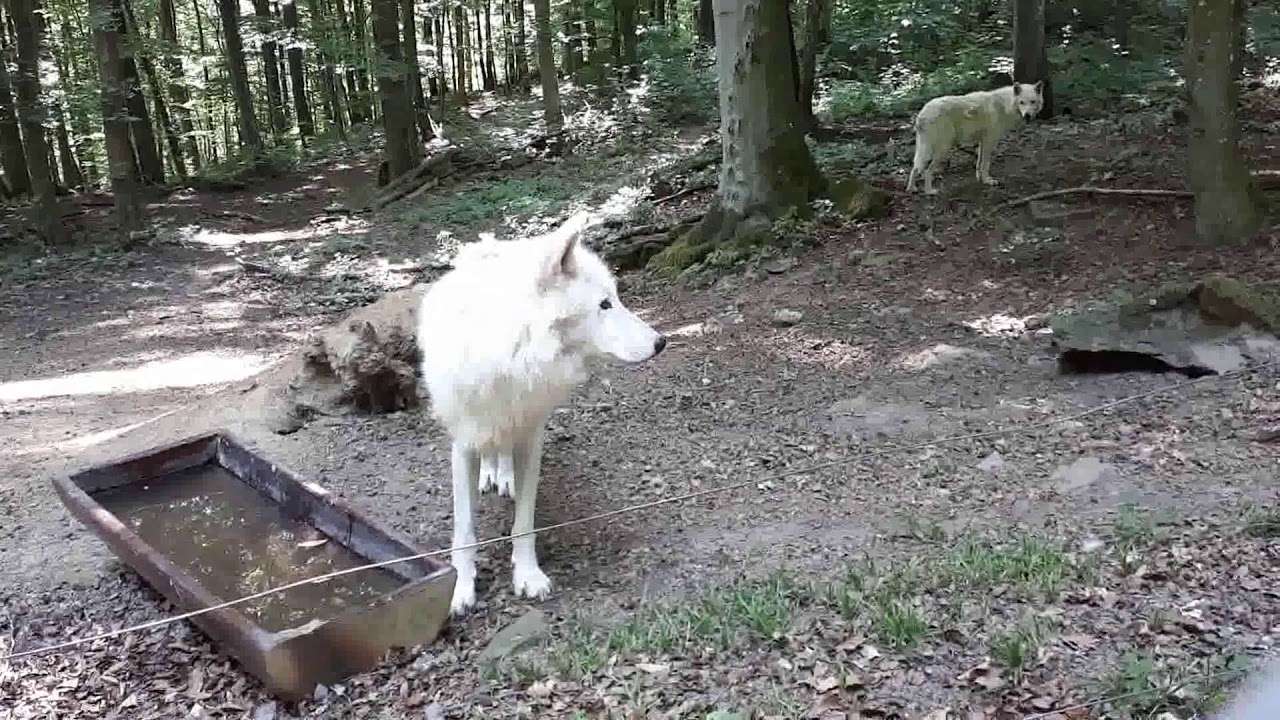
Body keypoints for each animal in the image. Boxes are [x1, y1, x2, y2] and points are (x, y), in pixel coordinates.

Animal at [417, 213, 667, 614]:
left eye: (615, 299)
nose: (661, 342)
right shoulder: (465, 440)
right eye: (604, 304)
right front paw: (461, 589)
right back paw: (490, 475)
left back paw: (503, 477)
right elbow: (464, 531)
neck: (511, 352)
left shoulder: (530, 435)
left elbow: (524, 523)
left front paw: (527, 575)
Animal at [906, 80, 1044, 195]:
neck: (1004, 106)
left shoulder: (982, 142)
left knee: (915, 167)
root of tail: (921, 114)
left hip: (926, 148)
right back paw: (929, 191)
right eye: (1022, 102)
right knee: (927, 171)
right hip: (942, 149)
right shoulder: (989, 142)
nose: (1027, 115)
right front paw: (988, 181)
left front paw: (980, 178)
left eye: (1033, 102)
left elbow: (979, 163)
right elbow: (986, 164)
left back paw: (912, 188)